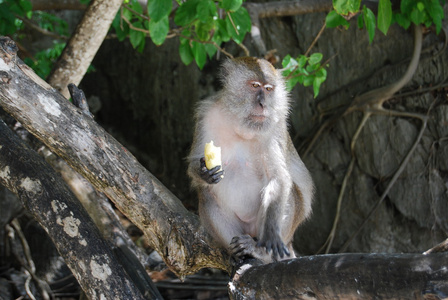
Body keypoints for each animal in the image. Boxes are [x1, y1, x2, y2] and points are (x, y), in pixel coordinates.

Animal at [187, 56, 314, 262]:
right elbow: (194, 163)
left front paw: (270, 236)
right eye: (255, 86)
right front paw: (204, 172)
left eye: (268, 89)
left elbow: (279, 180)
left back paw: (259, 251)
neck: (240, 125)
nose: (263, 104)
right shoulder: (206, 115)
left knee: (289, 194)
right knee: (206, 194)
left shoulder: (272, 128)